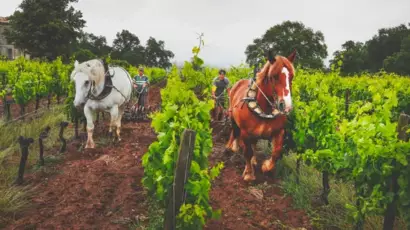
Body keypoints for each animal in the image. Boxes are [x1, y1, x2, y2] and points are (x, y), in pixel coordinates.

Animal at [226, 49, 296, 181]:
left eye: (291, 77)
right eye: (274, 76)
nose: (287, 106)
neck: (265, 111)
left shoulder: (279, 132)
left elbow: (276, 152)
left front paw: (266, 167)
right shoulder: (245, 133)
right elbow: (247, 152)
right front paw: (249, 174)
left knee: (254, 144)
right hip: (232, 117)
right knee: (235, 132)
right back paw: (232, 147)